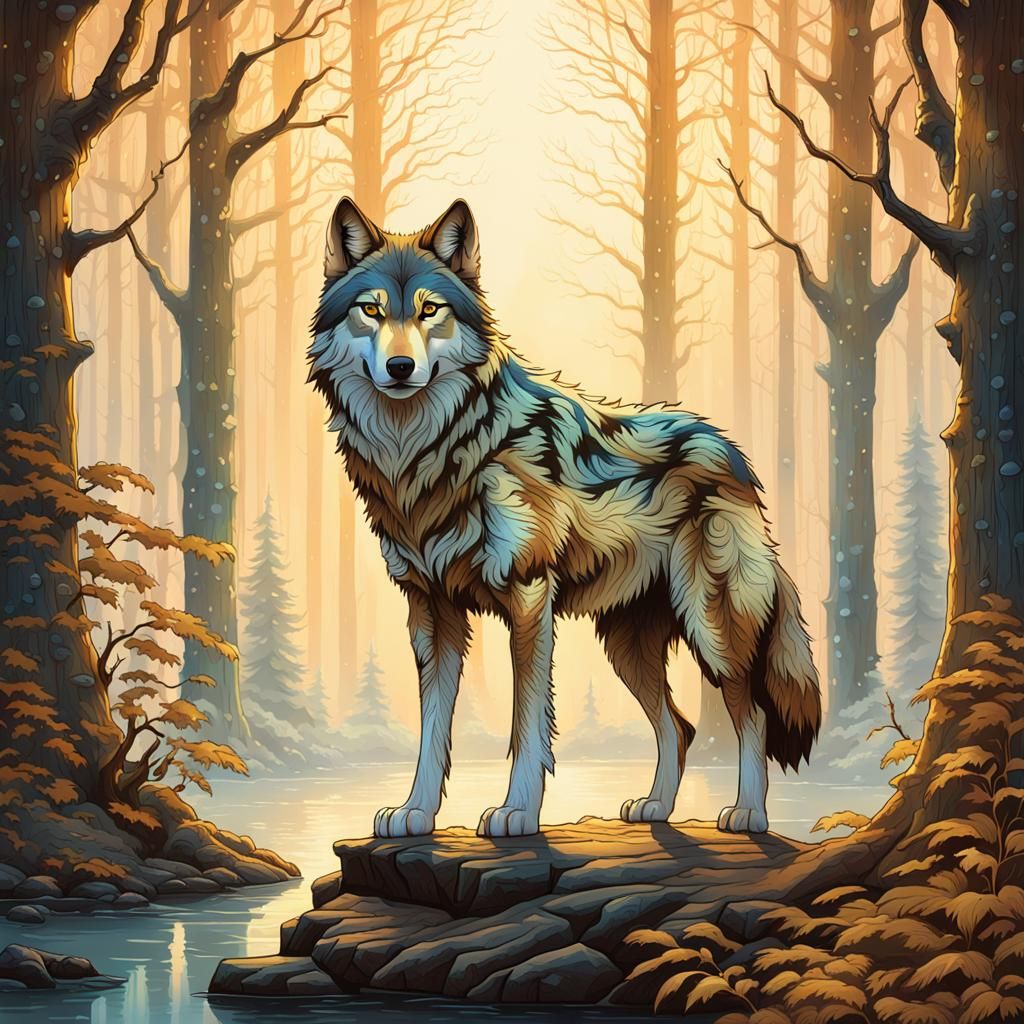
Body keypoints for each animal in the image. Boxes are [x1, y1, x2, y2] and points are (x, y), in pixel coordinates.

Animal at [308, 196, 821, 839]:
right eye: (371, 310)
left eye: (431, 311)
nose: (401, 367)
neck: (426, 452)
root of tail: (736, 458)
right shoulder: (431, 612)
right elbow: (432, 732)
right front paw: (415, 813)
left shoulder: (528, 596)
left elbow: (526, 727)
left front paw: (516, 813)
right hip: (627, 649)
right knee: (678, 726)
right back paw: (655, 809)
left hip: (713, 628)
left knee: (749, 713)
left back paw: (748, 813)